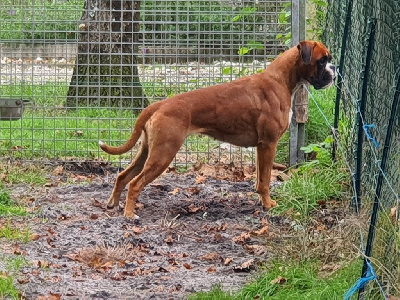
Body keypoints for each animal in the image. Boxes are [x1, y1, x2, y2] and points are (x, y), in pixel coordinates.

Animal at [99, 40, 334, 218]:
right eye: (322, 60)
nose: (334, 70)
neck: (281, 79)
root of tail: (159, 105)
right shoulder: (269, 144)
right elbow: (266, 180)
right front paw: (268, 205)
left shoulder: (261, 147)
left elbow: (260, 179)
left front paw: (261, 200)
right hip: (163, 154)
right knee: (135, 184)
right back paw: (130, 214)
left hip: (148, 151)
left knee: (123, 177)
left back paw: (113, 205)